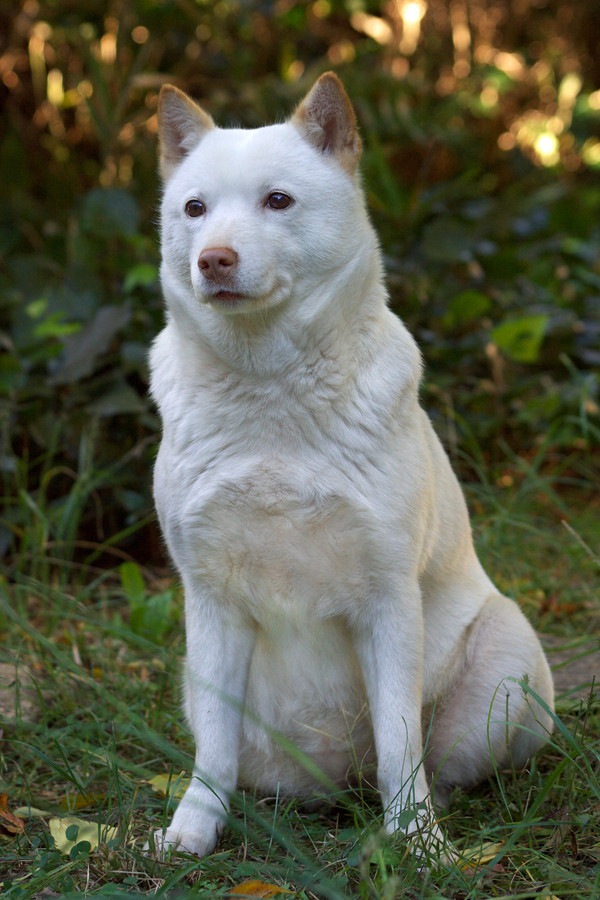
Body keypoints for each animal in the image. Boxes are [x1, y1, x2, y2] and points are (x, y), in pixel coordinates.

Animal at [149, 74, 552, 860]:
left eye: (277, 200)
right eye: (195, 208)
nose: (213, 259)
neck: (271, 395)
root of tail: (339, 784)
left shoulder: (388, 599)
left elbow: (401, 742)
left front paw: (419, 846)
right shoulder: (210, 601)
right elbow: (212, 753)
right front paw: (192, 832)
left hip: (511, 660)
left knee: (436, 764)